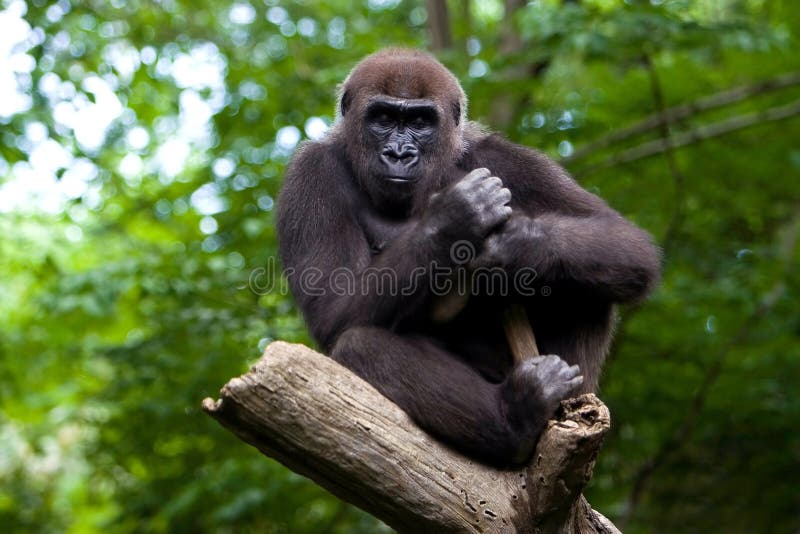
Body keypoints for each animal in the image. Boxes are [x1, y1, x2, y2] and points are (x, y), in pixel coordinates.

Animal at [278, 50, 660, 468]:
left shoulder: (502, 158)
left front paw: (513, 247)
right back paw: (515, 416)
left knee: (590, 283)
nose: (399, 154)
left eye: (420, 122)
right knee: (358, 345)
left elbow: (628, 244)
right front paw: (454, 218)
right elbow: (333, 305)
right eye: (382, 118)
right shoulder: (310, 172)